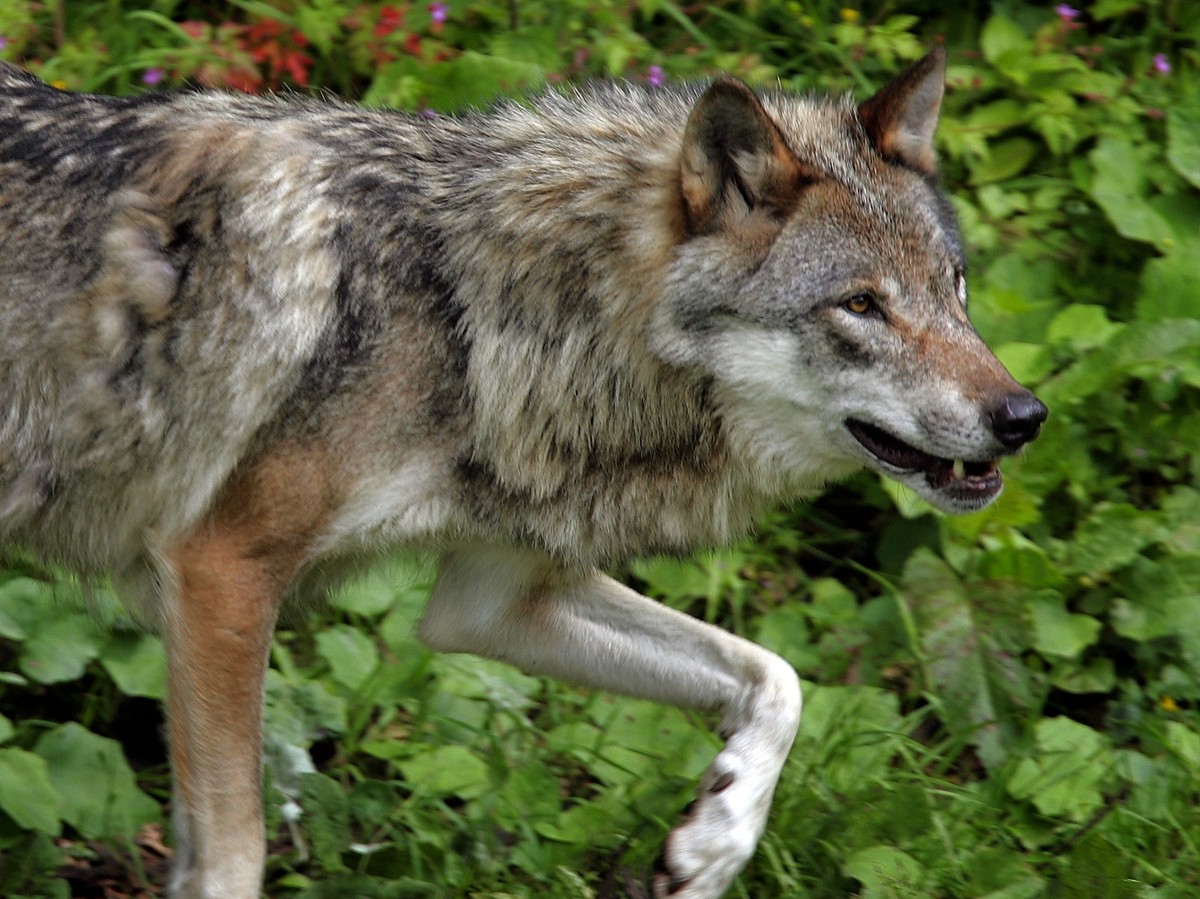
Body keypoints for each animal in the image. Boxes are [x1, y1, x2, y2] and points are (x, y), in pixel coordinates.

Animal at [0, 48, 1045, 898]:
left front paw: (713, 844)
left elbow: (775, 677)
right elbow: (232, 855)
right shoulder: (220, 573)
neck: (476, 312)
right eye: (861, 305)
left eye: (953, 287)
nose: (1024, 417)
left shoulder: (490, 603)